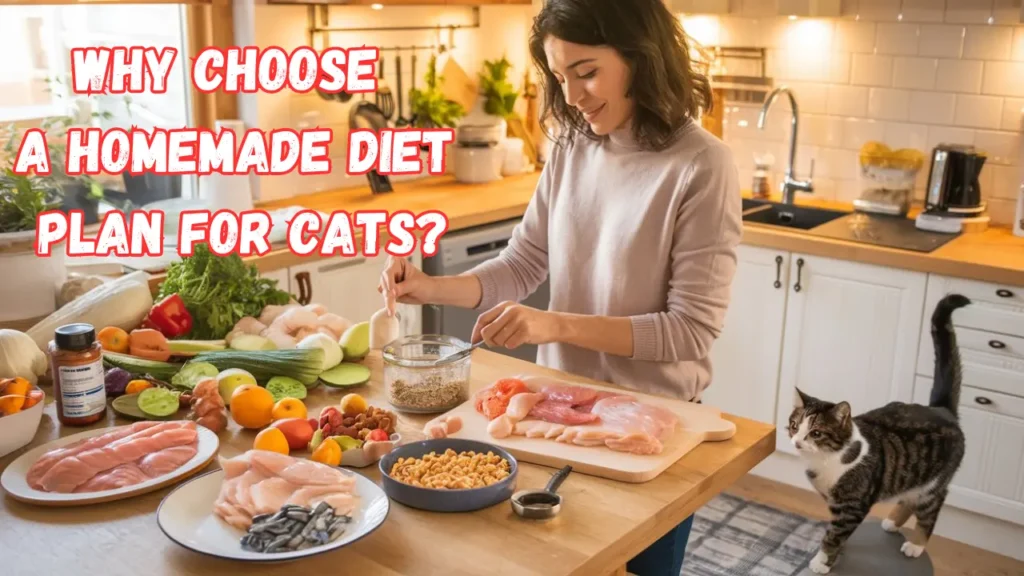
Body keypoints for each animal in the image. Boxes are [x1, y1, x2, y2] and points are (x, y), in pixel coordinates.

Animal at [790, 293, 966, 569]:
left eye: (816, 433)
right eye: (795, 426)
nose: (796, 441)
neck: (825, 462)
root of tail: (942, 410)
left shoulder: (853, 506)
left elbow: (834, 535)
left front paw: (821, 561)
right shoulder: (834, 504)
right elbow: (837, 534)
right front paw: (836, 555)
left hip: (934, 483)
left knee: (931, 508)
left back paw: (916, 545)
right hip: (914, 478)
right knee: (909, 498)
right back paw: (892, 522)